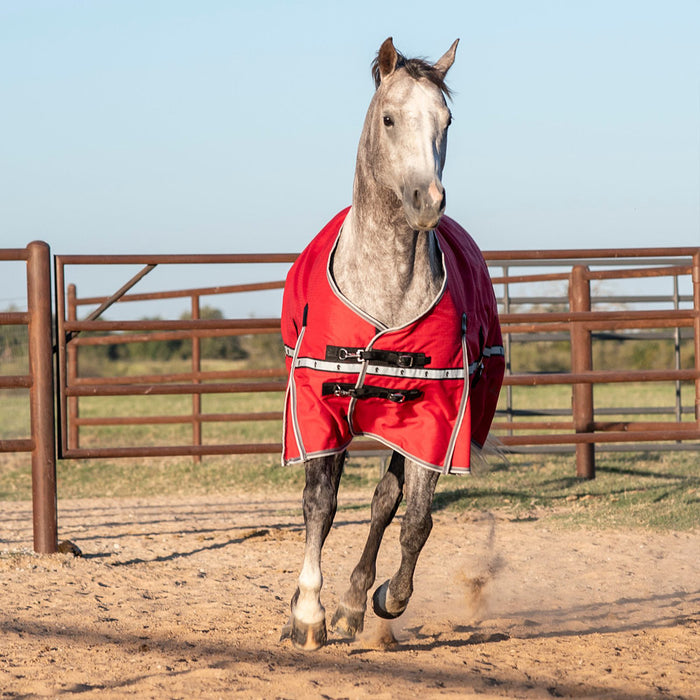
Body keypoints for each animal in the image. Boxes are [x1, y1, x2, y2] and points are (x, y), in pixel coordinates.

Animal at [279, 37, 504, 650]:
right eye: (389, 117)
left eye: (447, 120)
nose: (427, 199)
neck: (386, 291)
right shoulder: (318, 407)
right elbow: (320, 506)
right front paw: (307, 614)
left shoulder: (437, 420)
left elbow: (416, 519)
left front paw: (384, 599)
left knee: (386, 502)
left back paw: (356, 603)